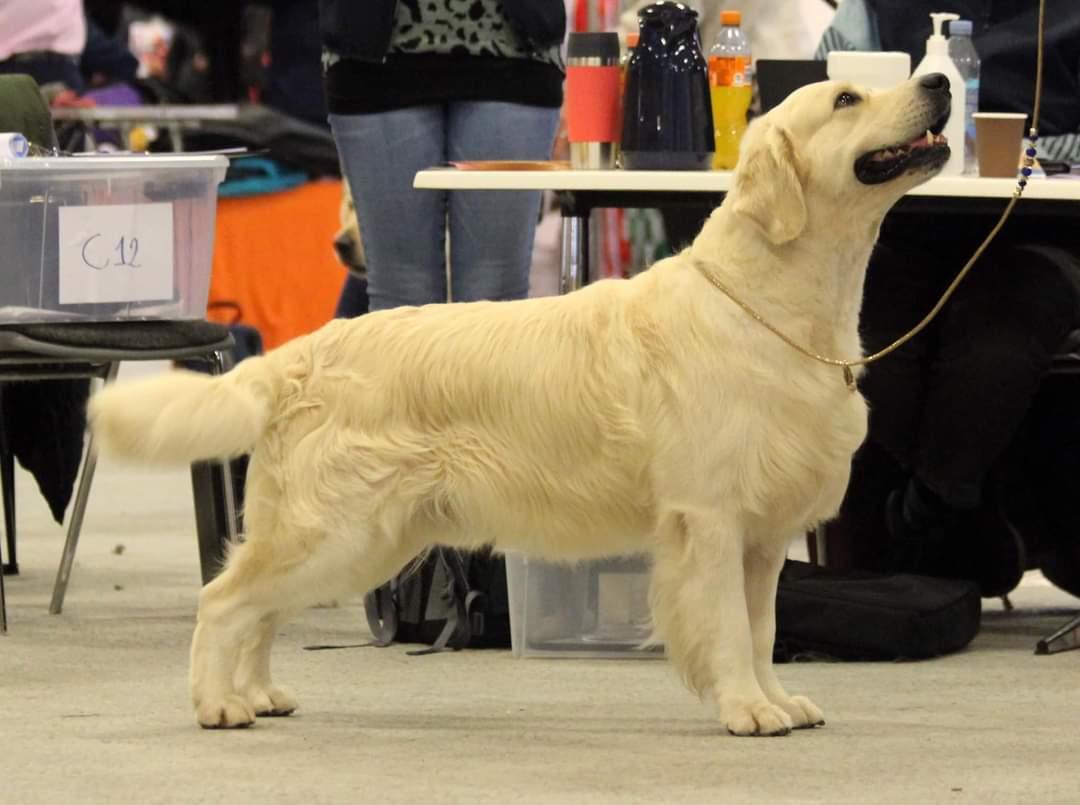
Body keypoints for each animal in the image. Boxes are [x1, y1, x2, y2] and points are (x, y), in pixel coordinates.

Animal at [92, 75, 954, 734]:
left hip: (358, 537)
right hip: (335, 530)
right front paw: (746, 708)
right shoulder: (710, 520)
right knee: (223, 598)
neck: (769, 301)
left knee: (258, 610)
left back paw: (259, 692)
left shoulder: (763, 534)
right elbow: (731, 629)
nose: (941, 81)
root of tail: (296, 354)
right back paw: (216, 703)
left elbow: (766, 627)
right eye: (847, 97)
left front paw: (776, 699)